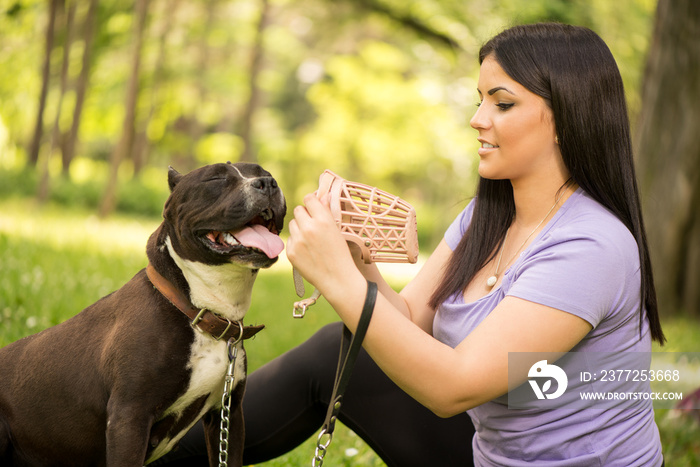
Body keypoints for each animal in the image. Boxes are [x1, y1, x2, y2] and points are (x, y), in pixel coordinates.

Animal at [0, 163, 288, 466]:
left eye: (264, 171)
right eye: (216, 177)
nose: (268, 182)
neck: (197, 309)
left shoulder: (228, 415)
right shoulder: (129, 417)